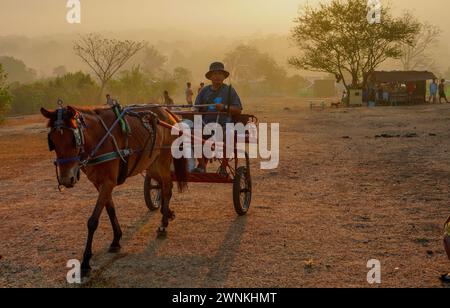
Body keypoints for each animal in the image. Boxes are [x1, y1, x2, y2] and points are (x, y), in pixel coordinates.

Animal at [40, 104, 188, 276]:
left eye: (73, 139)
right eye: (52, 141)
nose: (66, 179)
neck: (98, 139)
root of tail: (167, 113)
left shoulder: (108, 182)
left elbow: (93, 221)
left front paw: (86, 261)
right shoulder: (99, 183)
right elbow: (110, 210)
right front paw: (116, 239)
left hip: (163, 159)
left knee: (166, 188)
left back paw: (163, 224)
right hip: (151, 163)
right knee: (163, 185)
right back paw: (167, 212)